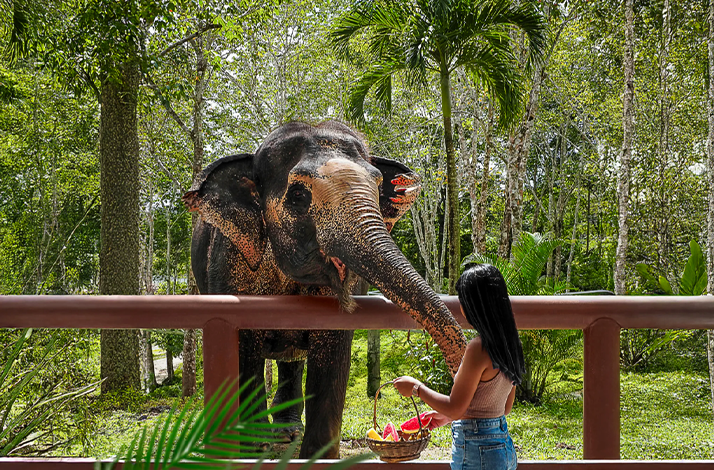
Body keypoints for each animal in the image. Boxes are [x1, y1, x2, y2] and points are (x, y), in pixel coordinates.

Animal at [182, 120, 466, 458]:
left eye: (378, 184)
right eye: (298, 195)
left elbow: (333, 353)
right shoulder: (230, 263)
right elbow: (242, 353)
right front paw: (251, 449)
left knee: (291, 359)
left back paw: (288, 433)